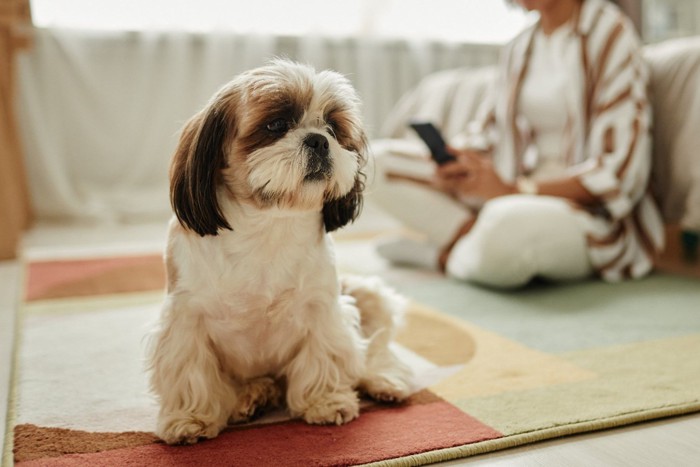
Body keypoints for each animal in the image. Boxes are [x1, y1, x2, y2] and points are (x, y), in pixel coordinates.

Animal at [148, 59, 410, 446]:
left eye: (333, 128)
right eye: (276, 125)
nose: (318, 140)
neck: (268, 223)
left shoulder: (323, 308)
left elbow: (325, 353)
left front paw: (325, 401)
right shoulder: (185, 318)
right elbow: (190, 371)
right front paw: (189, 418)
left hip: (366, 294)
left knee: (375, 349)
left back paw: (384, 380)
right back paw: (253, 396)